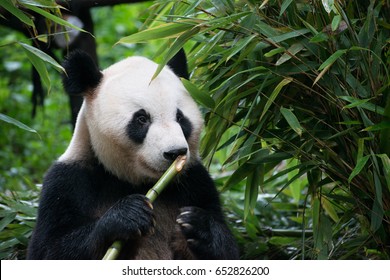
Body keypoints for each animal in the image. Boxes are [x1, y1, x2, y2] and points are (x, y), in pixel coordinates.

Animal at [26, 49, 238, 260]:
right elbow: (49, 248)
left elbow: (227, 249)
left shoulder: (196, 183)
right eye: (142, 119)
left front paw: (198, 225)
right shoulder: (68, 182)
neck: (138, 182)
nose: (175, 153)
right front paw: (128, 215)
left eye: (180, 117)